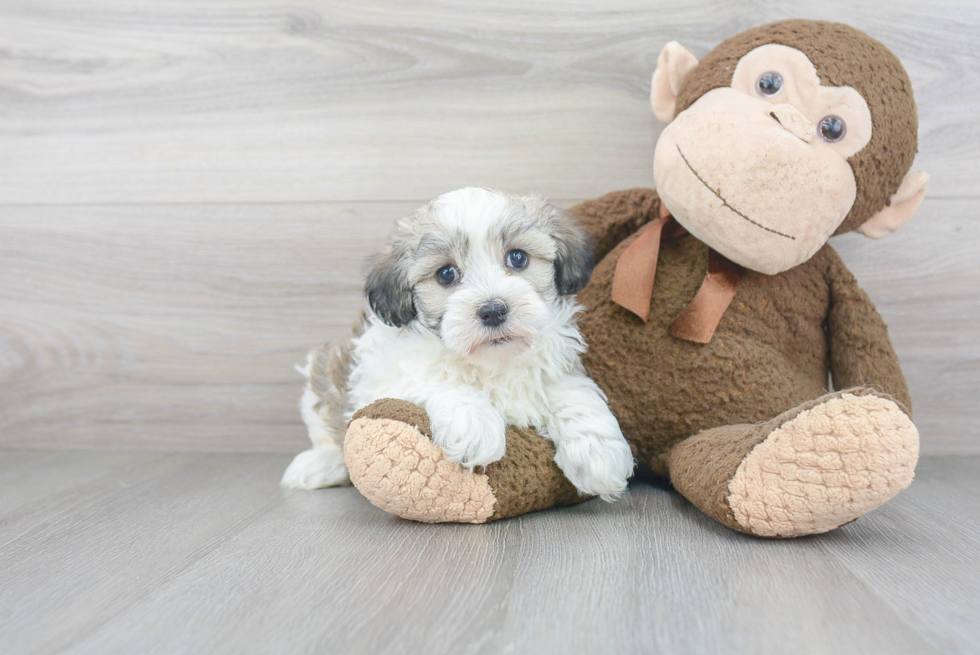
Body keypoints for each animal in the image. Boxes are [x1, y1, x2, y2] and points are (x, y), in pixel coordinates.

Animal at [282, 187, 636, 500]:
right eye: (446, 274)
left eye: (518, 258)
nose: (493, 310)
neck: (492, 361)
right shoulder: (381, 377)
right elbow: (438, 381)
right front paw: (474, 423)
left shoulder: (557, 361)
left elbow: (571, 390)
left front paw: (597, 450)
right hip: (322, 373)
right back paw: (319, 465)